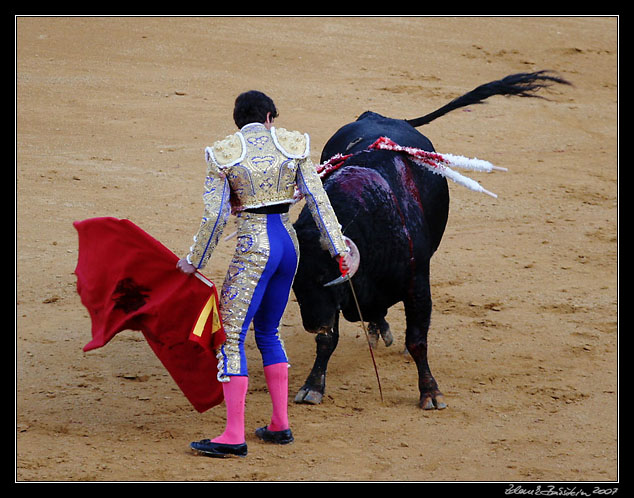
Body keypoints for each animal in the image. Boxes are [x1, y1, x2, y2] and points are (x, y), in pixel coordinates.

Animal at [288, 72, 564, 410]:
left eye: (325, 277)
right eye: (295, 285)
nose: (312, 323)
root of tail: (379, 116)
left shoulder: (416, 282)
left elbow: (418, 340)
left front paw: (430, 393)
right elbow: (328, 340)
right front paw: (312, 386)